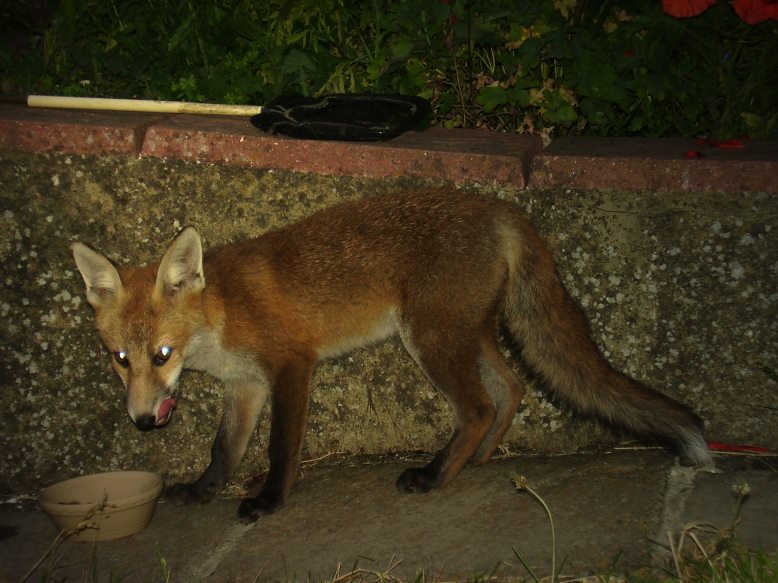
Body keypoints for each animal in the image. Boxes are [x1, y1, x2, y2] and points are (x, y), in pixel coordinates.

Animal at [71, 188, 711, 522]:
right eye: (120, 359)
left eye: (161, 354)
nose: (141, 421)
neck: (224, 313)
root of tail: (497, 207)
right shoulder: (245, 386)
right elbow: (223, 448)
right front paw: (205, 490)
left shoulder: (291, 365)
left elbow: (280, 447)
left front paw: (270, 500)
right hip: (464, 334)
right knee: (511, 389)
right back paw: (479, 459)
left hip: (429, 339)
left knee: (477, 406)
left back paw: (435, 475)